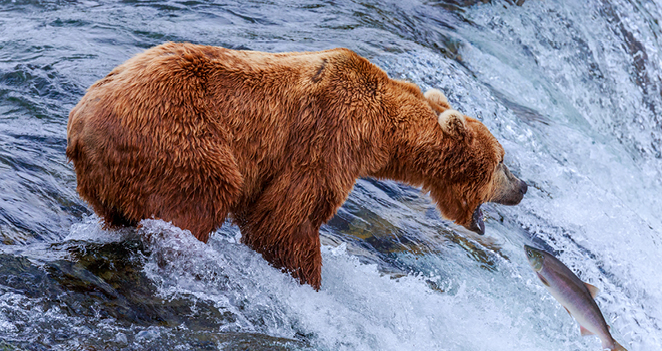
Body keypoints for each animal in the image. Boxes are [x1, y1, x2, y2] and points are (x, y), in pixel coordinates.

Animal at [67, 42, 528, 290]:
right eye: (503, 160)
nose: (523, 186)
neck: (382, 133)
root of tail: (79, 121)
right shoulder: (328, 139)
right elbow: (287, 219)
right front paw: (306, 278)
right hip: (174, 138)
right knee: (201, 197)